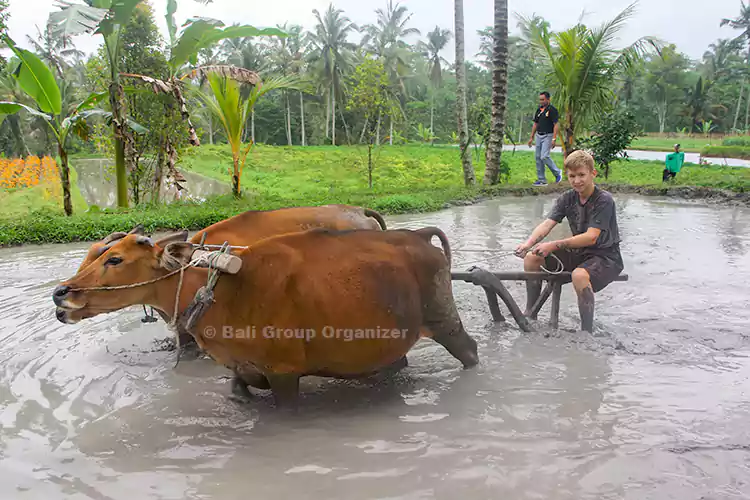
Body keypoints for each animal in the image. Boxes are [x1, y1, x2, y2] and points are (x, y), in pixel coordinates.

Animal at [53, 227, 478, 410]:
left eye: (114, 259)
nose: (61, 293)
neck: (221, 288)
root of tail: (419, 237)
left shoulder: (284, 372)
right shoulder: (241, 369)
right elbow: (237, 393)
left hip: (444, 317)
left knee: (470, 350)